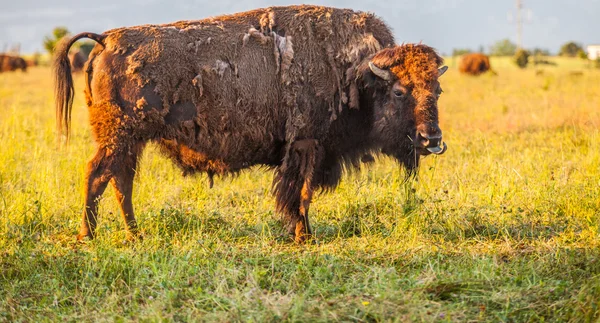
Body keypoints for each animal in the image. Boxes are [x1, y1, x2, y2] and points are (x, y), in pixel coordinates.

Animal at [54, 4, 448, 243]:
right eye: (399, 91)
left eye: (438, 89)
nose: (431, 139)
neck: (356, 72)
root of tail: (106, 39)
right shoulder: (306, 146)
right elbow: (300, 194)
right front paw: (303, 235)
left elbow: (299, 194)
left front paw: (300, 233)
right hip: (118, 137)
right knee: (97, 175)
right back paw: (88, 236)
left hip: (130, 141)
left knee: (120, 181)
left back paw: (134, 233)